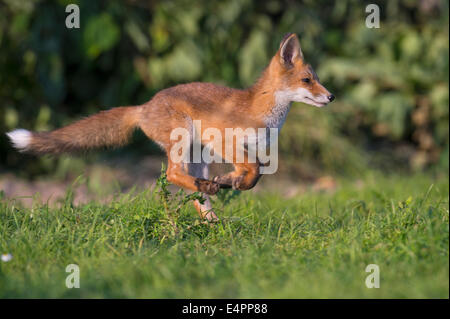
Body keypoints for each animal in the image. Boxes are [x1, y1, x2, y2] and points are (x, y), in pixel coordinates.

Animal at [7, 33, 334, 221]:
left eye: (316, 80)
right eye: (307, 81)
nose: (331, 97)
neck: (261, 111)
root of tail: (144, 105)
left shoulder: (245, 150)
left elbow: (255, 172)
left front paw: (231, 181)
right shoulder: (226, 141)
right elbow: (253, 171)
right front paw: (237, 182)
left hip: (198, 155)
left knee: (195, 194)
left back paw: (213, 218)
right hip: (184, 139)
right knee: (173, 174)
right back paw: (209, 199)